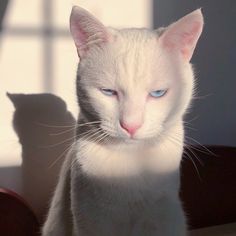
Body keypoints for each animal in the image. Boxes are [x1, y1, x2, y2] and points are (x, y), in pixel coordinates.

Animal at [42, 6, 203, 236]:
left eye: (158, 93)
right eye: (108, 92)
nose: (131, 125)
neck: (131, 162)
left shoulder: (160, 216)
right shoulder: (89, 216)